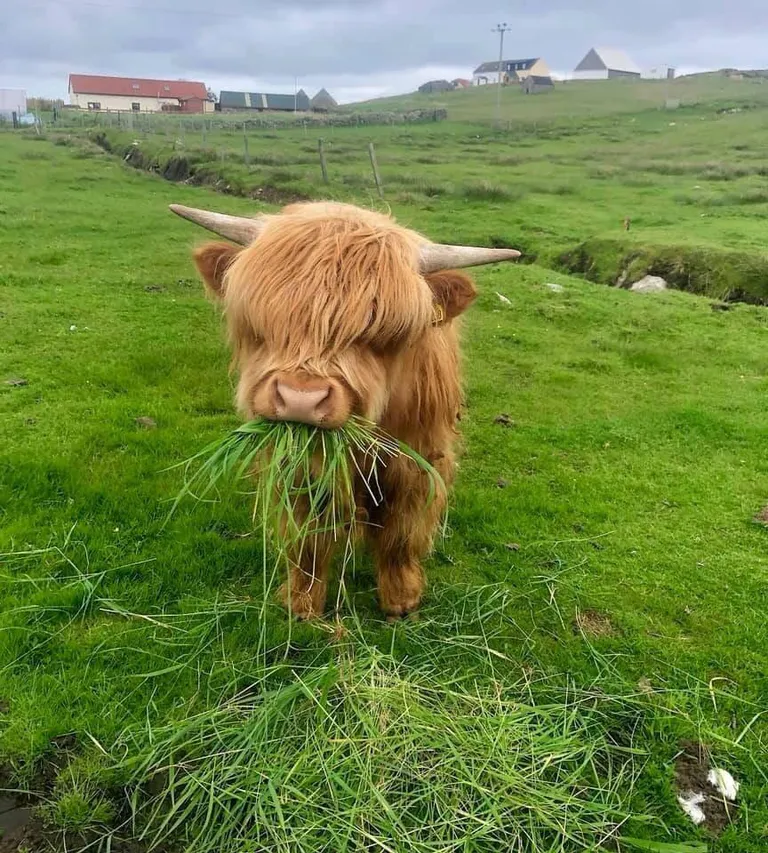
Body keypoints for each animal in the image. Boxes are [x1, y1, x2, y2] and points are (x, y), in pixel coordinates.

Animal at [171, 201, 519, 620]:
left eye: (382, 332)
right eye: (263, 322)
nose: (301, 399)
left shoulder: (417, 458)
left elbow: (402, 529)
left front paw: (401, 598)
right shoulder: (300, 466)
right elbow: (307, 534)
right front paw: (301, 602)